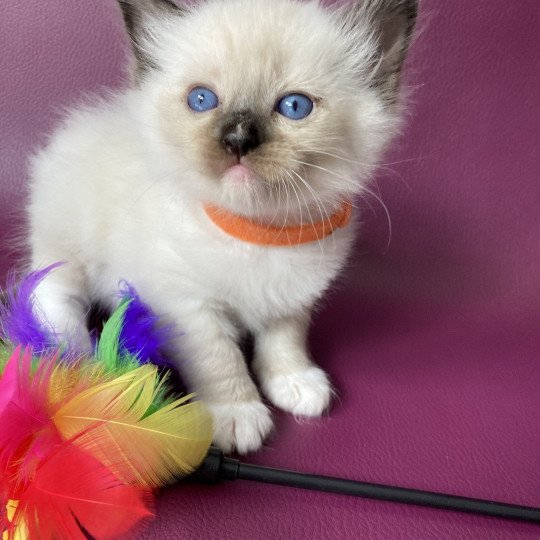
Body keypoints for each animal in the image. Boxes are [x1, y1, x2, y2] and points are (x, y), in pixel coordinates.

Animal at [27, 0, 418, 454]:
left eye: (295, 107)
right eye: (202, 100)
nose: (237, 138)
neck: (259, 234)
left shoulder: (293, 298)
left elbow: (284, 342)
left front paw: (294, 383)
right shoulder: (187, 305)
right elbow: (219, 359)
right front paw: (236, 416)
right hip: (68, 243)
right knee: (48, 289)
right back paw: (73, 353)